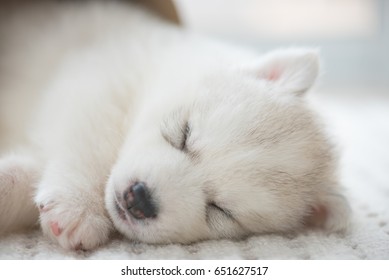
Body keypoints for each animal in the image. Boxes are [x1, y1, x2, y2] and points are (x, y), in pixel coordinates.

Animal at [0, 0, 350, 249]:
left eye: (220, 210)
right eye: (184, 134)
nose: (140, 198)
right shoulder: (100, 77)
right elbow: (91, 137)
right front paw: (80, 205)